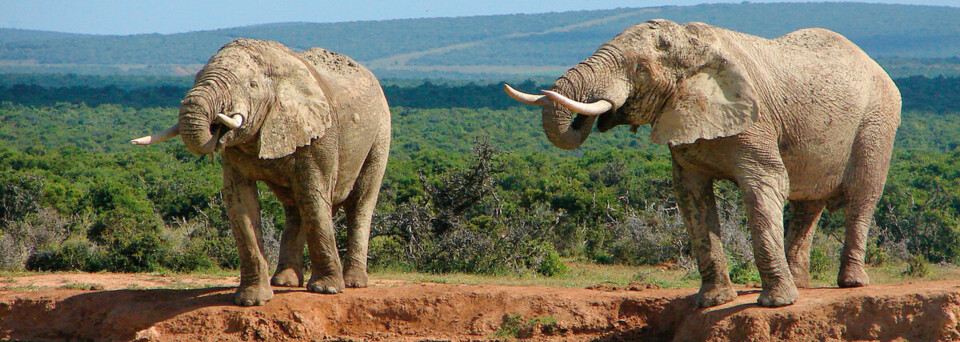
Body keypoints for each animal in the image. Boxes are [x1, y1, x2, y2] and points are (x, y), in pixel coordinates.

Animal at [130, 38, 390, 306]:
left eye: (252, 85)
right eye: (196, 78)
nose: (216, 126)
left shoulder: (320, 134)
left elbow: (314, 196)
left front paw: (326, 290)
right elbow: (240, 202)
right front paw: (251, 300)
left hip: (381, 131)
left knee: (360, 202)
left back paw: (353, 282)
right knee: (294, 207)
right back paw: (285, 281)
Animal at [506, 18, 904, 308]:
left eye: (639, 69)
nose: (597, 113)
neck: (691, 42)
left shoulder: (756, 121)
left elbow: (765, 188)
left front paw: (775, 304)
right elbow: (691, 196)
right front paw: (712, 302)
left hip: (878, 120)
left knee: (862, 198)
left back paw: (849, 282)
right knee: (808, 205)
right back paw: (801, 282)